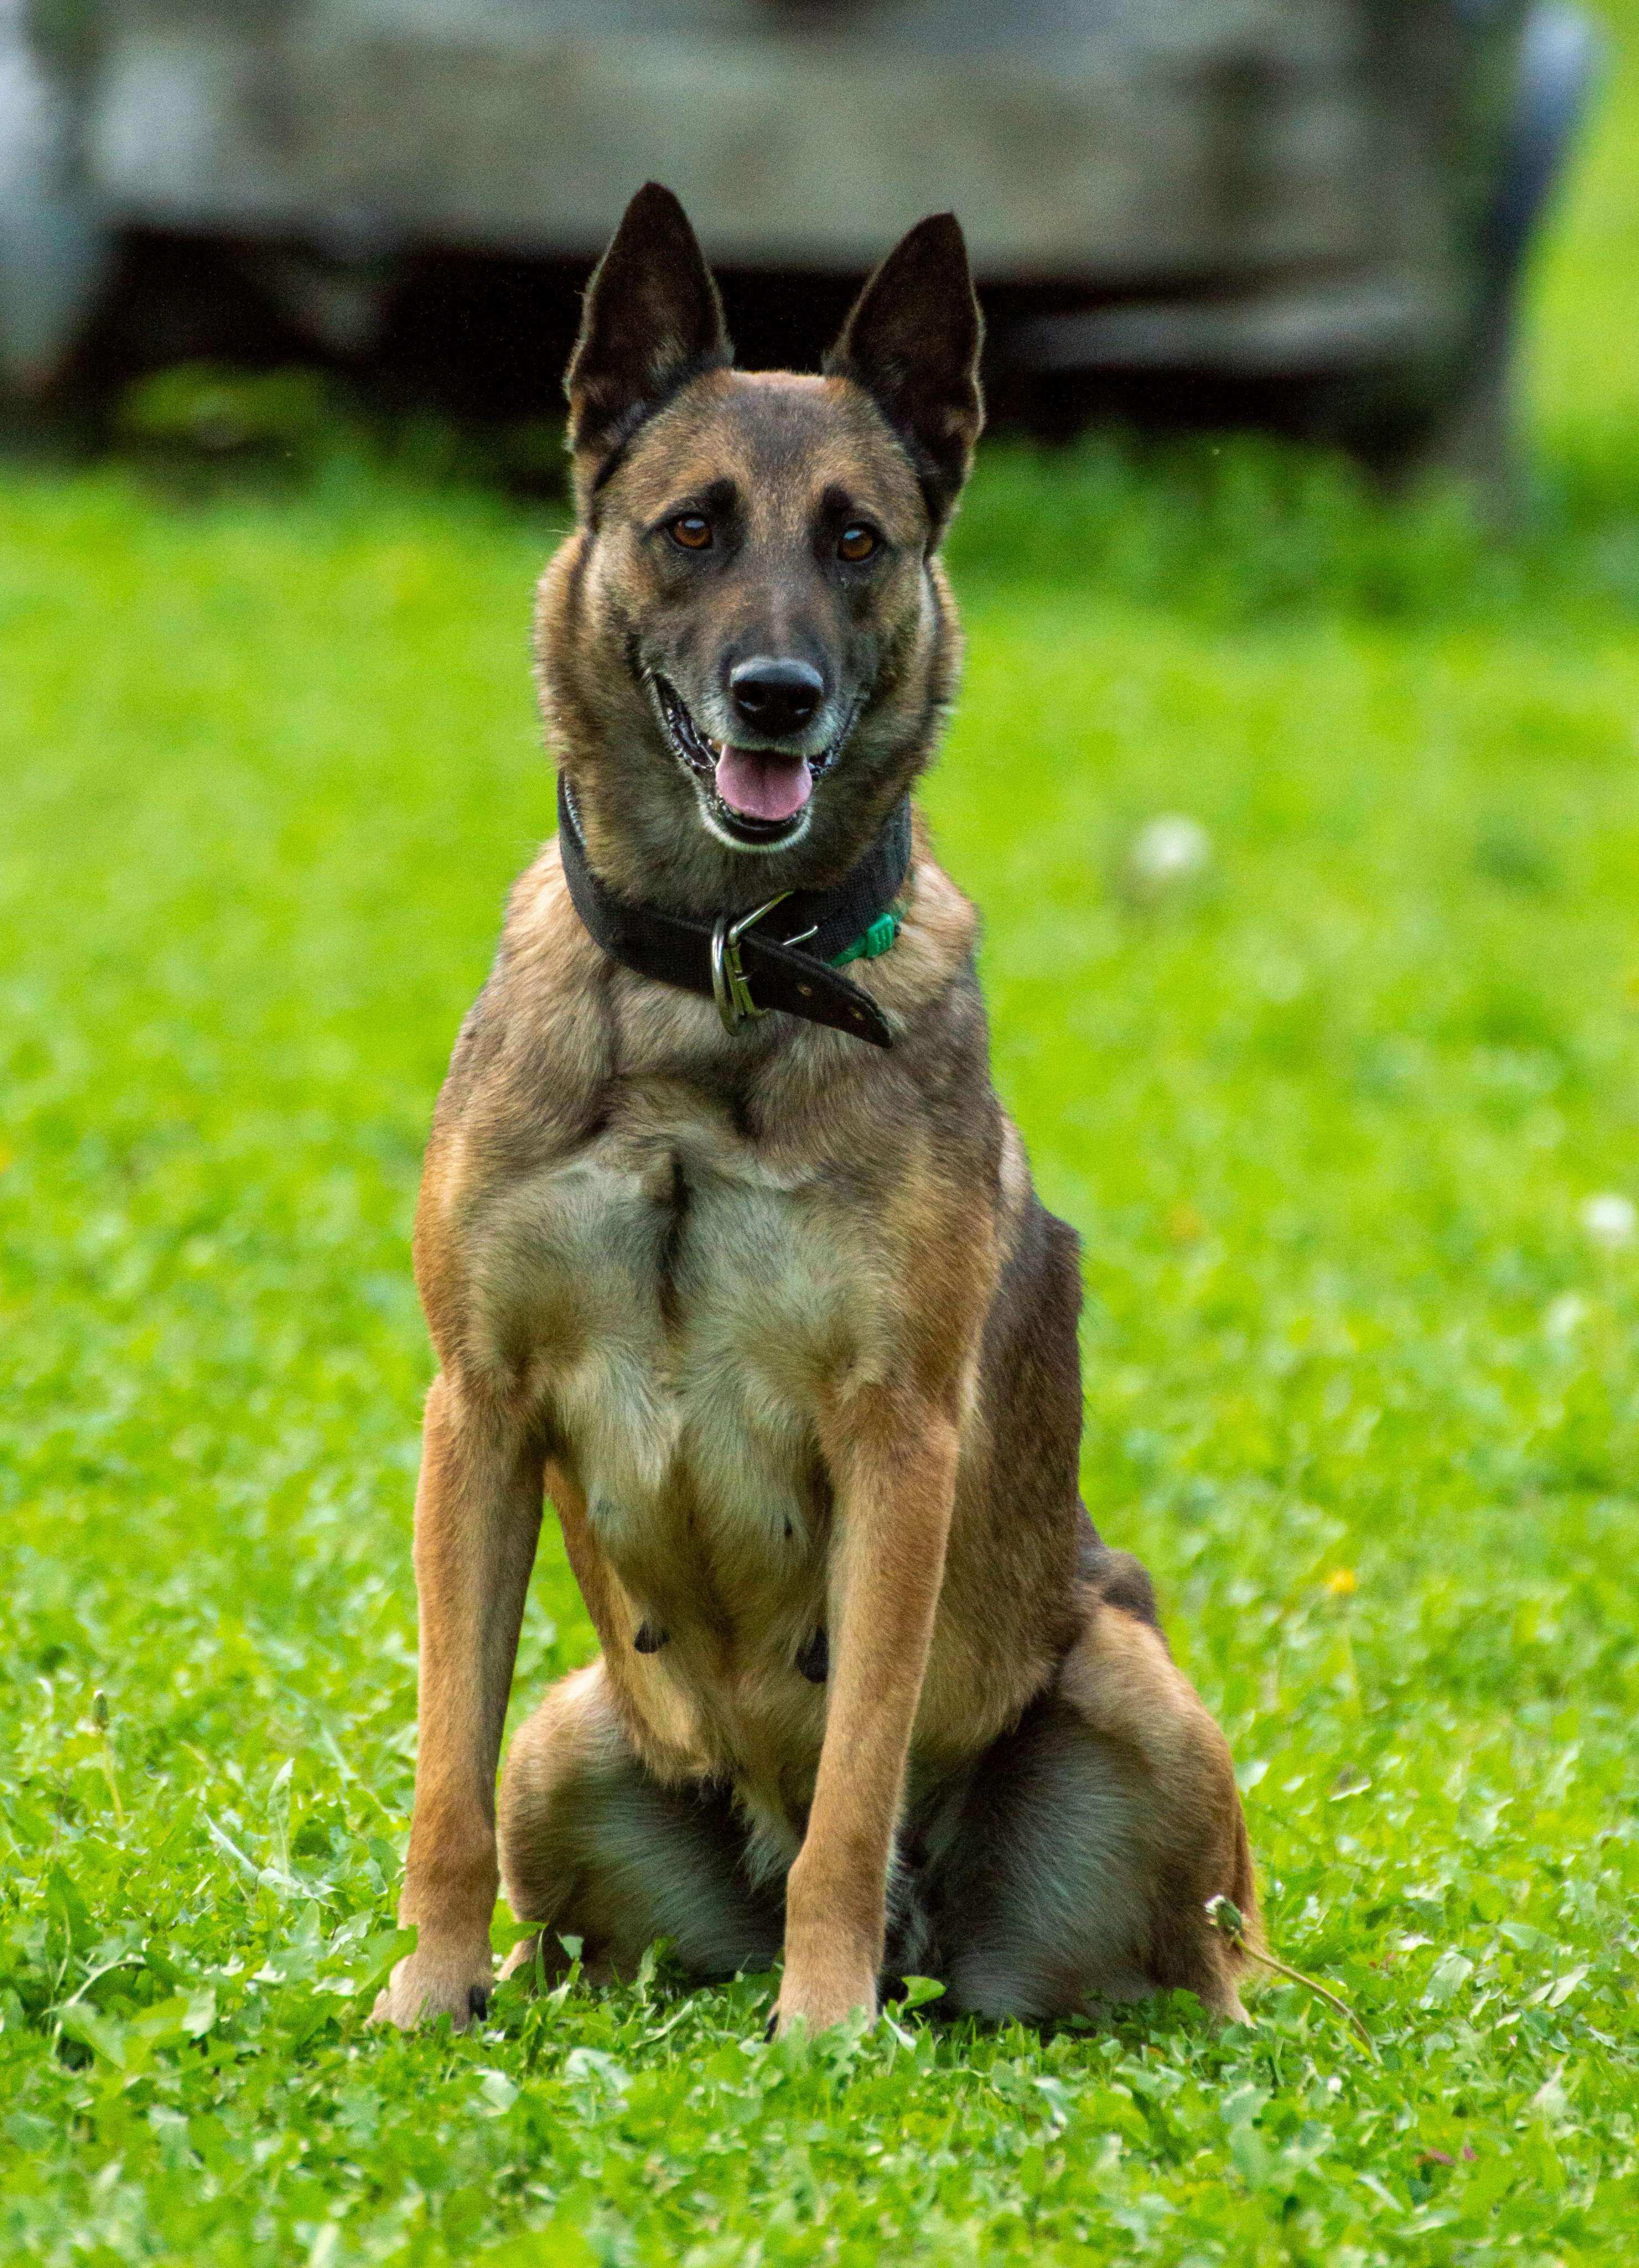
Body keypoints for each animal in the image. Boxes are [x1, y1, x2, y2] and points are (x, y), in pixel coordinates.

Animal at [374, 181, 1260, 2041]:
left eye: (856, 540)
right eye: (693, 527)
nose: (774, 693)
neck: (714, 984)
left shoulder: (894, 1442)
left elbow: (856, 1778)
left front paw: (823, 2023)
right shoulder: (475, 1414)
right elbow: (440, 1779)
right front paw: (421, 2000)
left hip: (1136, 1693)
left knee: (1204, 1965)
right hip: (575, 1732)